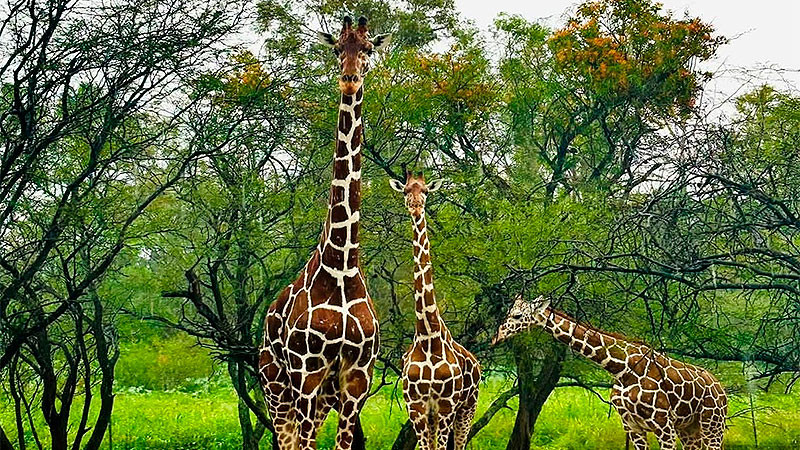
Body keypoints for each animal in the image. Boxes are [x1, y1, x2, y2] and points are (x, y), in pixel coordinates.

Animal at [258, 16, 391, 450]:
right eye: (337, 48)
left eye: (368, 48)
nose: (349, 80)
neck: (342, 264)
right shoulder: (307, 371)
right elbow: (302, 445)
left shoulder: (357, 377)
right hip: (276, 386)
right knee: (286, 439)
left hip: (322, 396)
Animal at [389, 172, 481, 450]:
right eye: (406, 190)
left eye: (426, 191)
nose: (416, 206)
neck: (428, 335)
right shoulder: (416, 408)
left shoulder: (445, 406)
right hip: (433, 418)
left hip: (468, 407)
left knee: (460, 444)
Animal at [493, 295, 727, 450]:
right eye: (508, 313)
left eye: (517, 315)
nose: (497, 336)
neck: (621, 369)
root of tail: (721, 388)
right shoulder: (632, 427)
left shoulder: (663, 424)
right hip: (689, 429)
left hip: (712, 425)